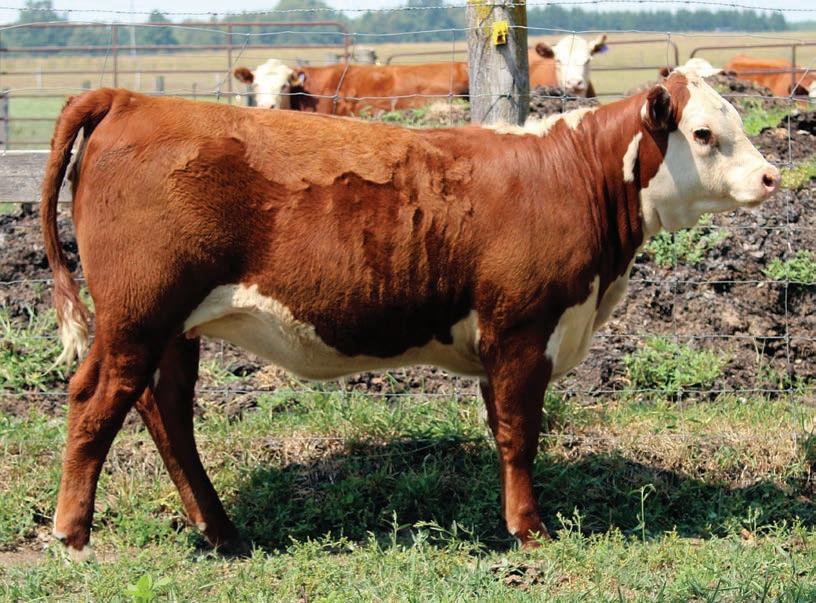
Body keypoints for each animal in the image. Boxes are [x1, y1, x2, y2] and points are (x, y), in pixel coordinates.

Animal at [42, 70, 779, 560]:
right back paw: (74, 534)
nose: (773, 177)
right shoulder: (522, 330)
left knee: (164, 412)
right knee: (95, 401)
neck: (569, 177)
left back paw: (221, 532)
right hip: (138, 316)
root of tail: (129, 98)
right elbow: (520, 435)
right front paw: (530, 529)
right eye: (704, 134)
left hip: (172, 328)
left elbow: (503, 430)